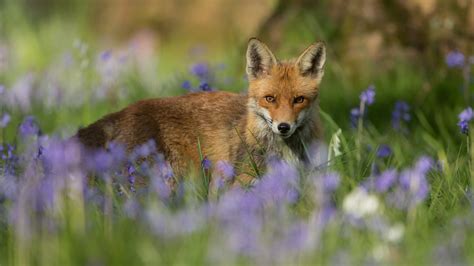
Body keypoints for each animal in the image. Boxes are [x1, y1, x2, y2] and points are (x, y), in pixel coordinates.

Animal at [75, 38, 326, 185]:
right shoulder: (241, 184)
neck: (284, 150)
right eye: (270, 99)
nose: (283, 127)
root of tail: (125, 111)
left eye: (299, 100)